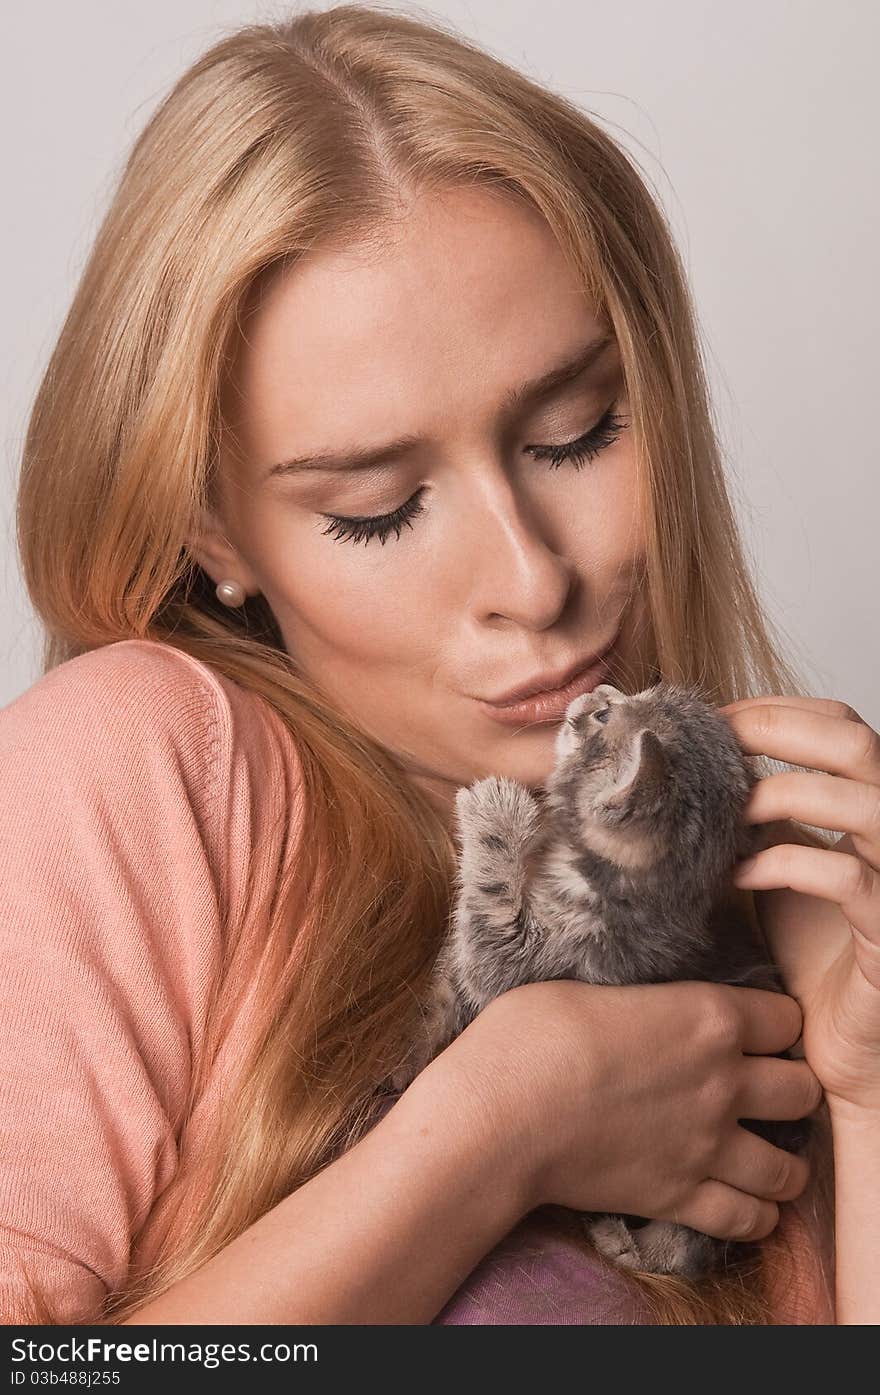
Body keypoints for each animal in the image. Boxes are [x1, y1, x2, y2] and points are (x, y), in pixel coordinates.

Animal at [393, 680, 814, 1277]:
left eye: (603, 716)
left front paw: (495, 814)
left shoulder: (538, 961)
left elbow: (488, 928)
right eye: (630, 695)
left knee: (681, 1253)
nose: (597, 688)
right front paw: (410, 1051)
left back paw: (621, 1240)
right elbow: (447, 987)